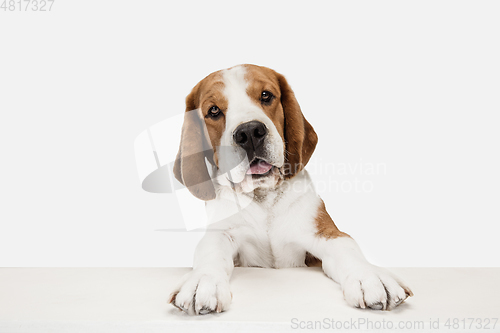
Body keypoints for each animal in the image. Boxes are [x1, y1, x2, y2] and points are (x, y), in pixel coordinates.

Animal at [166, 63, 412, 314]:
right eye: (214, 110)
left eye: (266, 95)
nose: (249, 132)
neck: (263, 197)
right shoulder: (223, 233)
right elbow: (210, 251)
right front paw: (203, 280)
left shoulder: (322, 233)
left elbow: (347, 247)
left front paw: (369, 276)